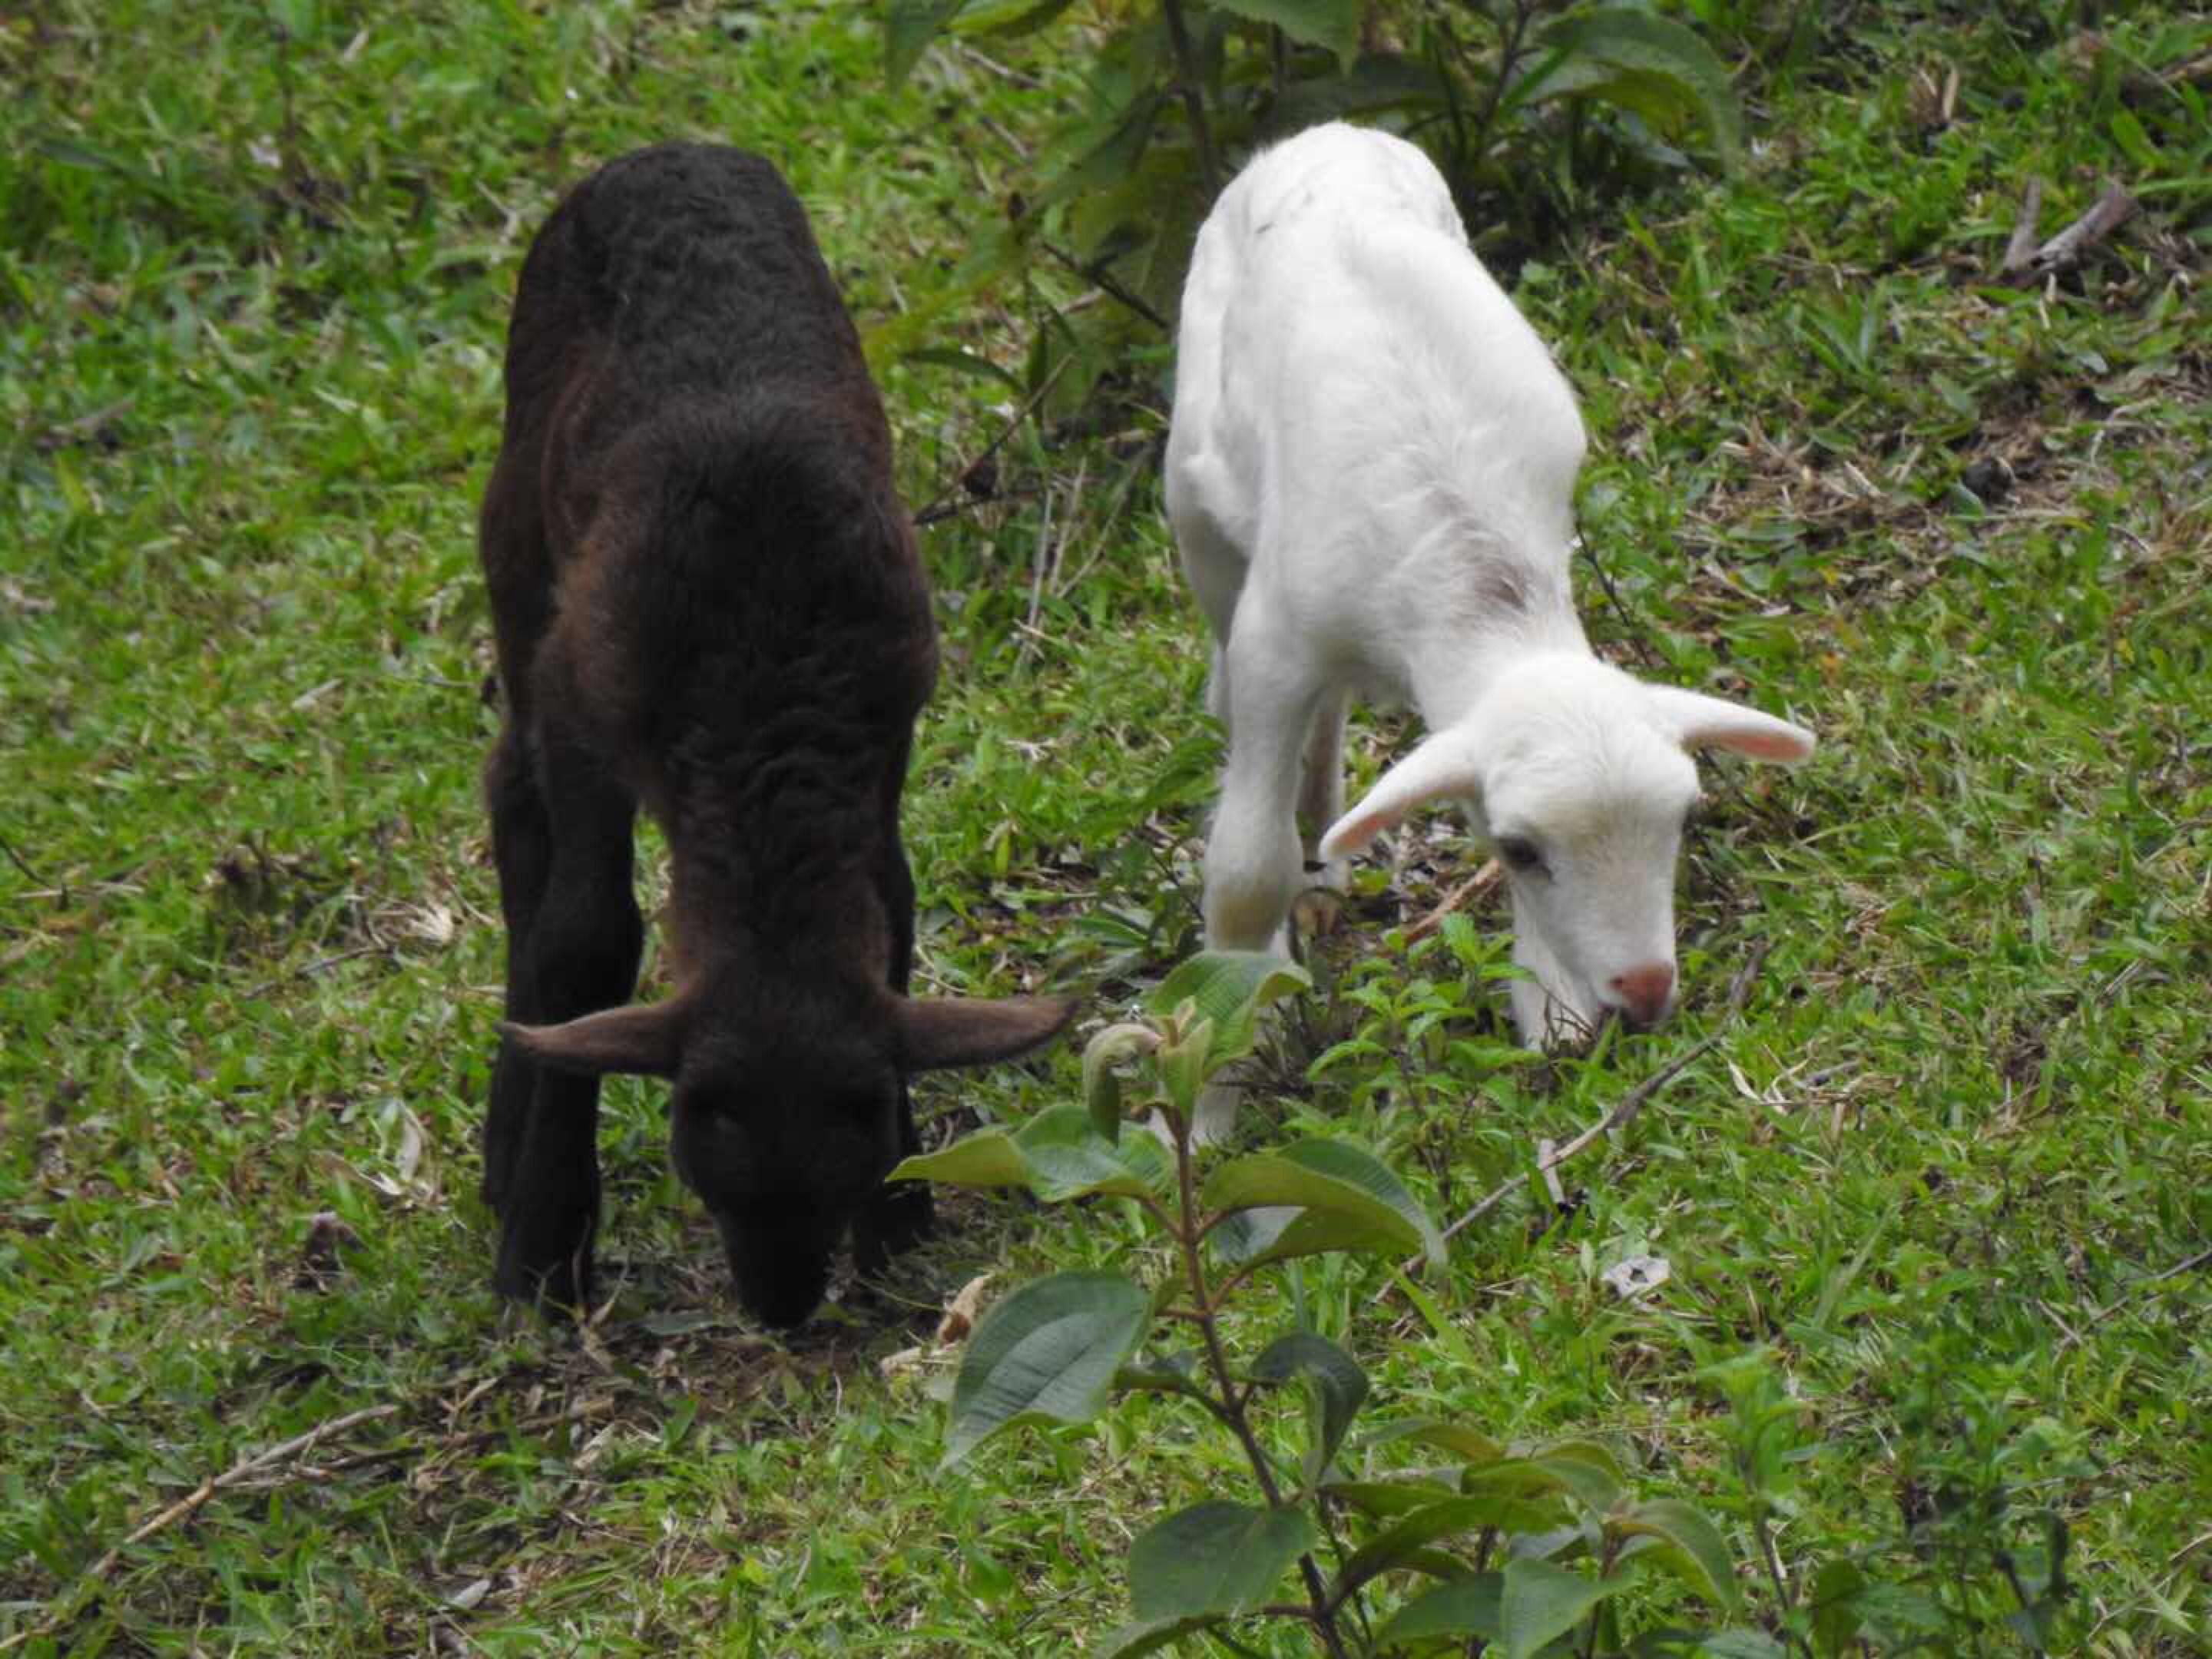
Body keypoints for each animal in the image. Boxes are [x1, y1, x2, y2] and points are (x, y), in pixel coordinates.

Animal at [477, 143, 1074, 1328]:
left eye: (852, 1139)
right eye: (697, 1142)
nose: (783, 1303)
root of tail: (664, 149)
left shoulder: (888, 724)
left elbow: (892, 910)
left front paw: (903, 1224)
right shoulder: (583, 700)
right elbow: (584, 942)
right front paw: (545, 1250)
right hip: (517, 543)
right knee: (511, 798)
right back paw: (502, 1148)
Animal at [1166, 123, 1813, 1126]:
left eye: (1687, 817)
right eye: (1520, 849)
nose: (1645, 992)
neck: (1475, 581)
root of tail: (1325, 134)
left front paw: (1550, 1007)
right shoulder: (1278, 644)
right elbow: (1242, 872)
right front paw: (1213, 1098)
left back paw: (1325, 857)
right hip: (1196, 506)